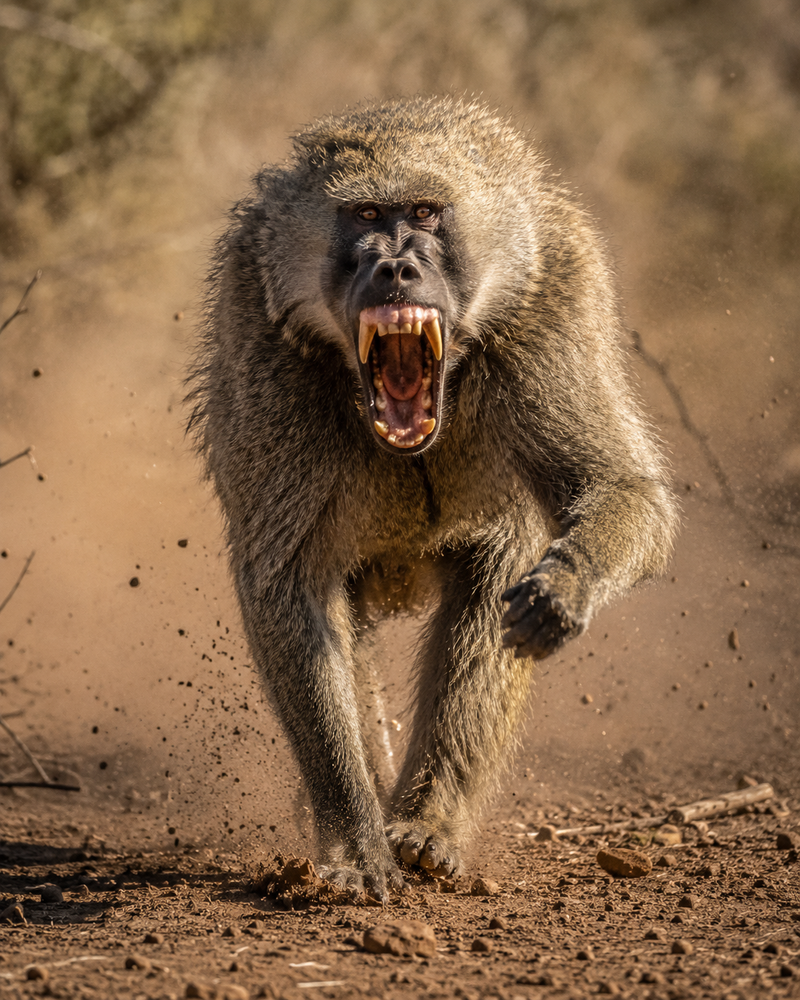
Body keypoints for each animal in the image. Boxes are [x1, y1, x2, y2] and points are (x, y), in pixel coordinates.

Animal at [187, 96, 678, 901]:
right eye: (364, 214)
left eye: (423, 212)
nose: (394, 265)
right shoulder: (258, 332)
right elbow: (287, 582)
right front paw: (355, 843)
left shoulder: (554, 304)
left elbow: (619, 490)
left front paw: (562, 587)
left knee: (486, 595)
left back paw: (428, 829)